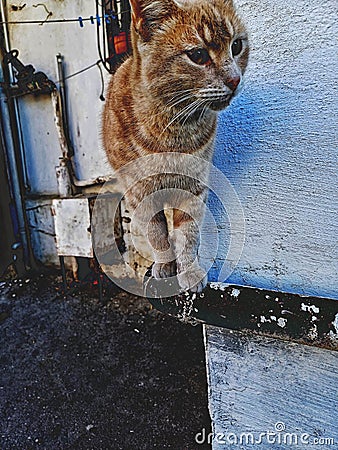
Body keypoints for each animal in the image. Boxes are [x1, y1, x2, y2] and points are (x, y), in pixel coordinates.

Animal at [102, 0, 248, 294]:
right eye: (198, 55)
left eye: (236, 46)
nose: (234, 79)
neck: (176, 129)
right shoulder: (140, 192)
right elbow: (157, 234)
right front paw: (165, 265)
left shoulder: (193, 187)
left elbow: (187, 235)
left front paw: (189, 270)